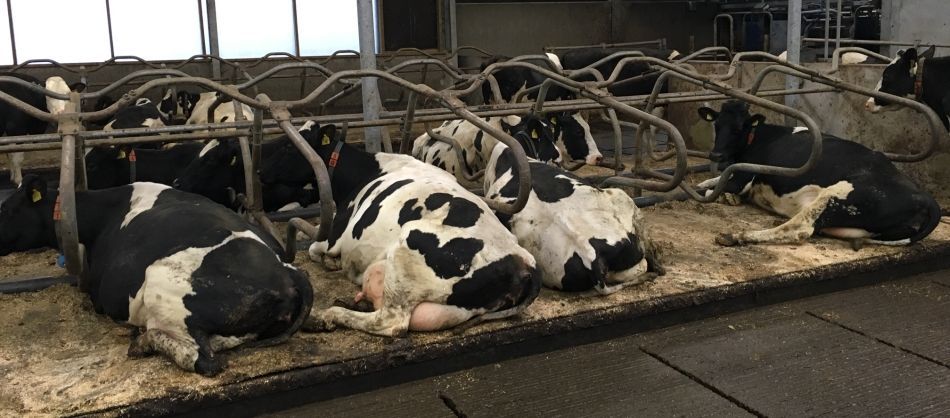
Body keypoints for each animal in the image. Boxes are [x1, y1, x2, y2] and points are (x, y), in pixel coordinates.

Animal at [260, 121, 544, 336]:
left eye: (288, 147)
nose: (260, 173)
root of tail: (523, 260)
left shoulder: (335, 236)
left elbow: (314, 249)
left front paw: (329, 262)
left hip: (408, 249)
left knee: (391, 323)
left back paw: (327, 315)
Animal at [700, 99, 944, 247]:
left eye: (738, 129)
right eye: (717, 125)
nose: (716, 155)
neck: (757, 136)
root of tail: (924, 196)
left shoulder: (744, 176)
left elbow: (716, 188)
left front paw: (723, 195)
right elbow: (712, 180)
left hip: (836, 194)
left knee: (799, 228)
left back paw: (735, 236)